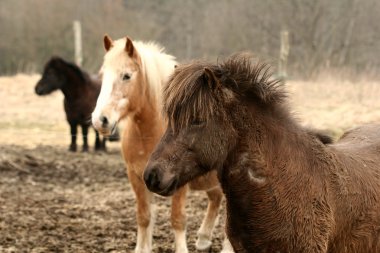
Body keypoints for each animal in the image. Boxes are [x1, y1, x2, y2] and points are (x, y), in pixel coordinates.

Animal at [91, 35, 233, 253]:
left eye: (126, 76)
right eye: (102, 75)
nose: (101, 120)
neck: (149, 134)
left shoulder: (178, 182)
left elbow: (177, 219)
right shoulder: (136, 178)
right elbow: (144, 217)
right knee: (215, 198)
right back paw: (203, 239)